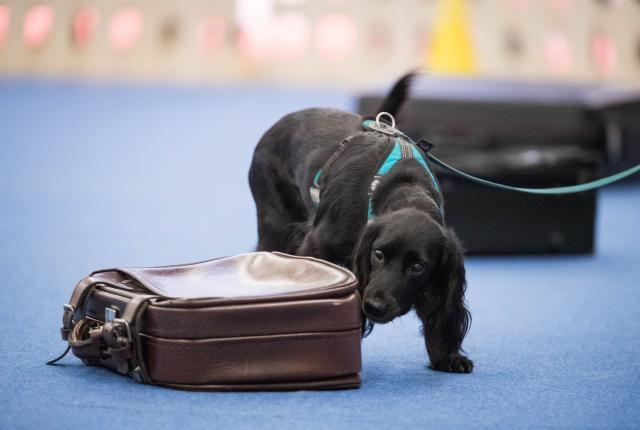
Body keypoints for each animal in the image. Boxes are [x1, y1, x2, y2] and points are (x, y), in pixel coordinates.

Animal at [250, 74, 476, 372]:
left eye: (418, 267)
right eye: (378, 254)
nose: (375, 306)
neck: (403, 187)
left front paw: (445, 356)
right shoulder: (318, 244)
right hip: (274, 222)